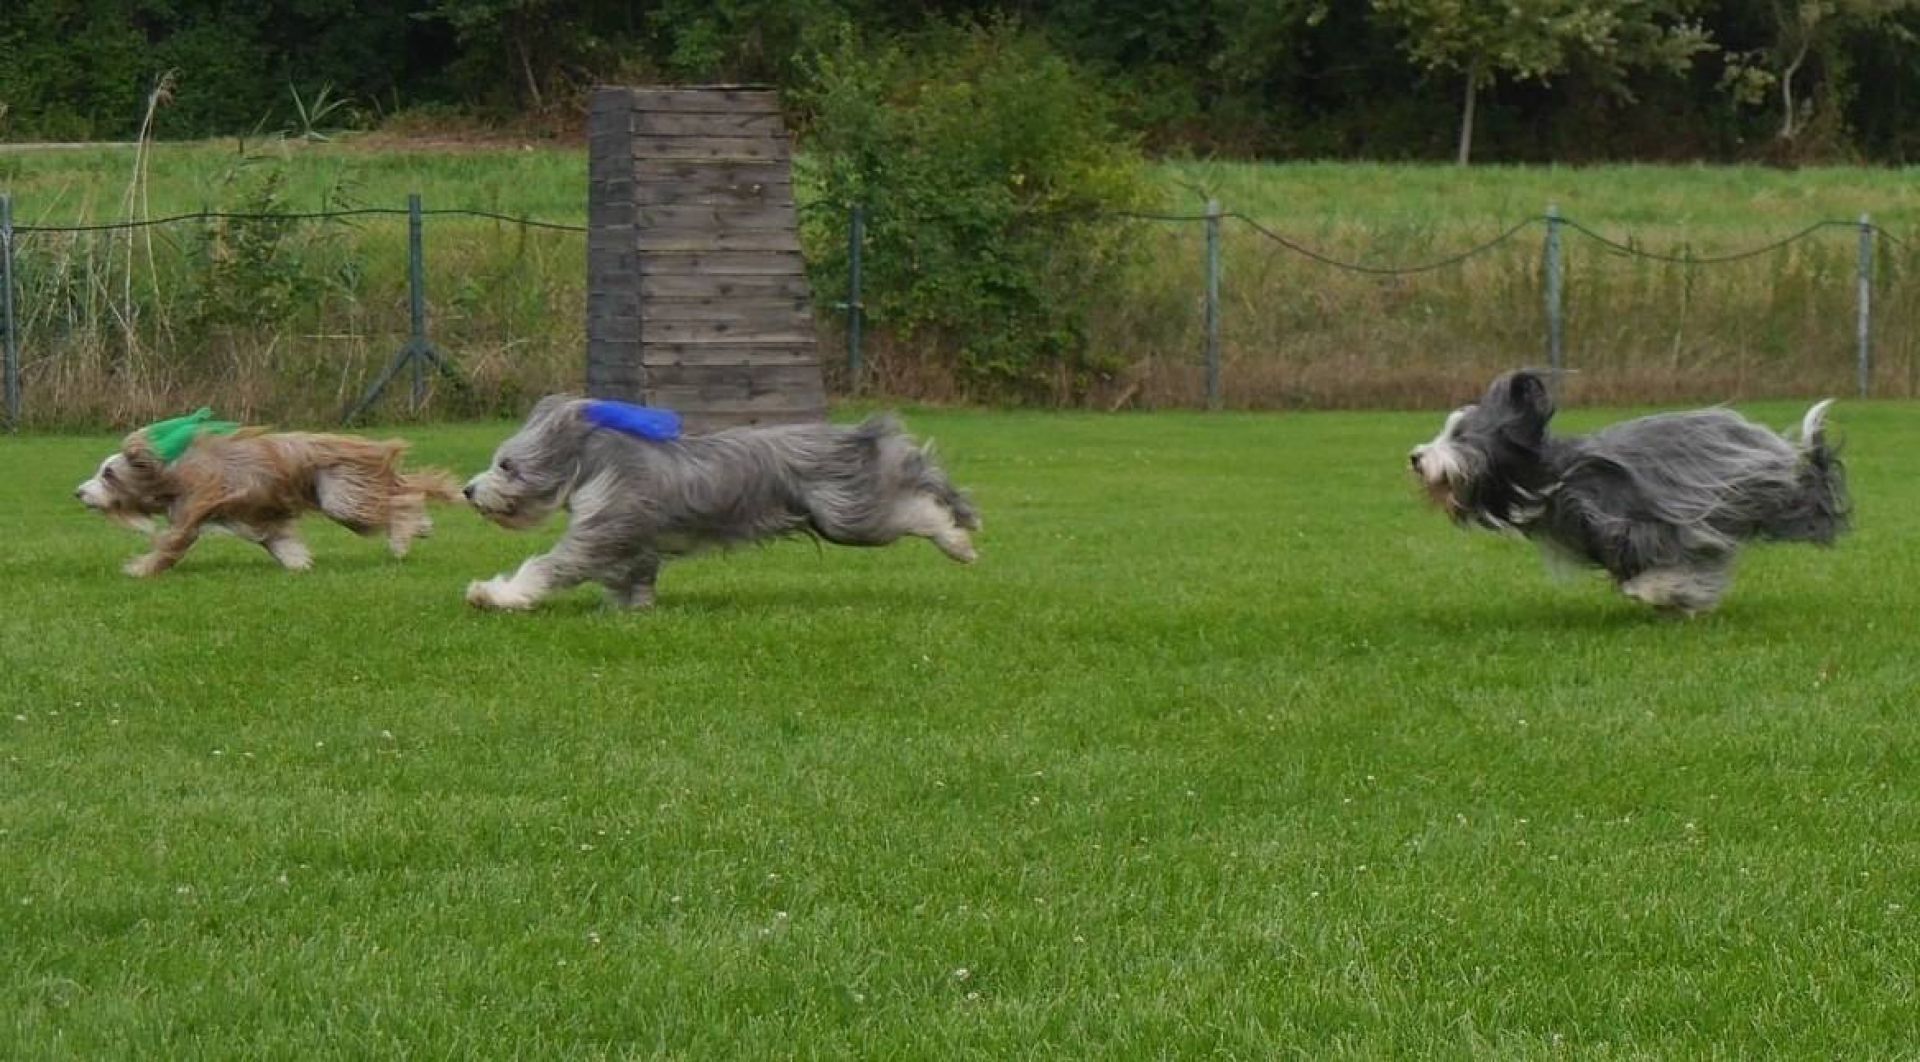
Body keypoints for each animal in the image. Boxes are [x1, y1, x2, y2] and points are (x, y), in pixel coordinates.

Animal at [75, 427, 462, 577]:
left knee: (403, 500)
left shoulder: (192, 511)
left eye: (108, 474)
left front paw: (139, 569)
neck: (170, 474)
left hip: (341, 496)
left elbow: (170, 546)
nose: (78, 492)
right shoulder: (259, 516)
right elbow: (279, 540)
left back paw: (402, 539)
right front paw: (298, 563)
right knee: (407, 493)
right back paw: (420, 527)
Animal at [461, 395, 981, 611]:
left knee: (920, 510)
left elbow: (552, 565)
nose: (467, 490)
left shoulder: (604, 527)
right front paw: (633, 608)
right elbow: (635, 575)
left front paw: (494, 594)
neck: (595, 462)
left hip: (849, 516)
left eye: (506, 465)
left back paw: (957, 544)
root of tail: (854, 436)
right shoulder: (635, 540)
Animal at [1408, 370, 1849, 614]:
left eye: (1459, 436)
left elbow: (1670, 568)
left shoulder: (1649, 524)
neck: (1555, 477)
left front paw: (1666, 593)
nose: (1415, 456)